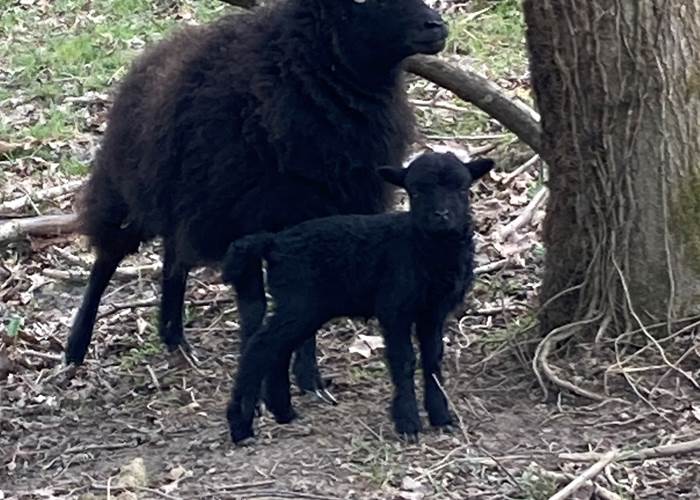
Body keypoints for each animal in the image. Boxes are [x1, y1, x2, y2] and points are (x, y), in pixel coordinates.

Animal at [63, 0, 449, 397]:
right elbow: (257, 306)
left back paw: (174, 338)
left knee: (174, 257)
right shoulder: (245, 219)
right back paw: (76, 348)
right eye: (358, 3)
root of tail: (156, 52)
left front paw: (308, 380)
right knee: (107, 259)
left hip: (183, 200)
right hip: (129, 191)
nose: (436, 26)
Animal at [222, 152, 495, 443]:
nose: (441, 215)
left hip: (304, 308)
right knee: (260, 347)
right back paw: (240, 425)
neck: (423, 250)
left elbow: (433, 360)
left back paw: (283, 412)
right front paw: (408, 423)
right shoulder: (394, 307)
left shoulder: (433, 312)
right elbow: (404, 361)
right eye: (416, 192)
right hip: (299, 303)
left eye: (463, 189)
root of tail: (274, 242)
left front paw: (441, 418)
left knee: (277, 350)